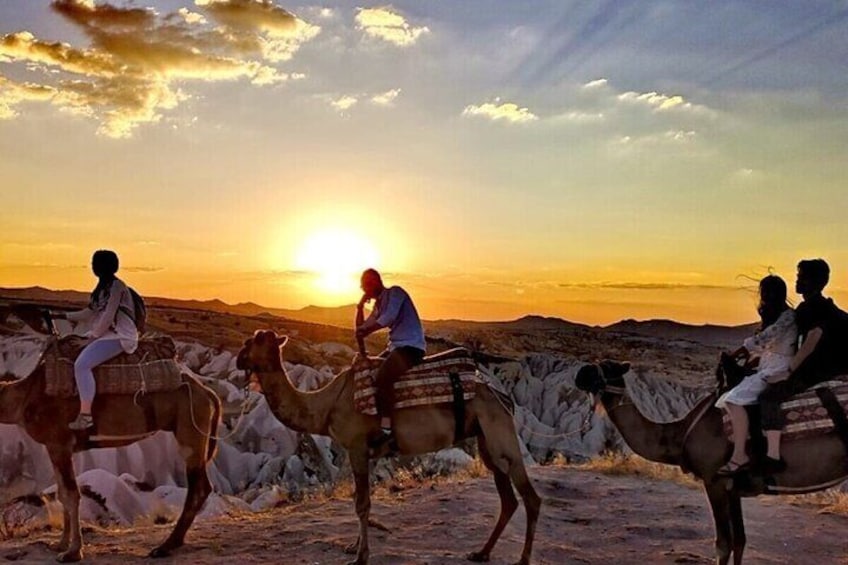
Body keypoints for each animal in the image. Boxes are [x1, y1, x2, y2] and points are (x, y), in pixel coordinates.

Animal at [0, 330, 222, 560]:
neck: (25, 397)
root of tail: (207, 392)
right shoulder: (60, 448)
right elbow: (62, 493)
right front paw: (60, 545)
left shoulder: (58, 442)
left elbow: (70, 495)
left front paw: (73, 552)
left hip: (191, 429)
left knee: (198, 486)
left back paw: (165, 546)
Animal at [235, 328, 540, 564]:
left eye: (254, 341)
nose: (239, 359)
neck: (326, 405)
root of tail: (504, 397)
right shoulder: (368, 453)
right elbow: (363, 501)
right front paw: (354, 546)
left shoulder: (356, 447)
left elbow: (361, 504)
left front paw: (361, 556)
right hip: (487, 441)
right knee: (508, 498)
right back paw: (481, 553)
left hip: (500, 433)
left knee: (530, 496)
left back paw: (522, 559)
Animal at [576, 362, 848, 564]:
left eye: (606, 367)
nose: (580, 374)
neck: (680, 433)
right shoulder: (733, 487)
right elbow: (740, 541)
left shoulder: (714, 480)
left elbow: (723, 545)